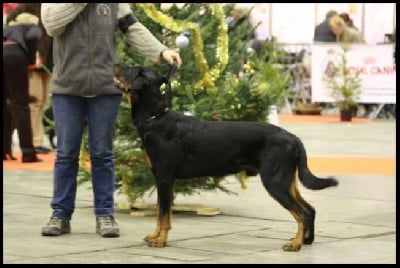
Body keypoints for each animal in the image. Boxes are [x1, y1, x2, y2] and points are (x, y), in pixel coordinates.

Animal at [114, 64, 340, 251]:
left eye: (130, 69)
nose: (115, 64)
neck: (155, 118)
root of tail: (293, 138)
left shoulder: (164, 178)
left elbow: (163, 215)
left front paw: (160, 240)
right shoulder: (163, 179)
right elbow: (161, 213)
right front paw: (155, 236)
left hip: (275, 181)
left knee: (301, 213)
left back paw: (295, 244)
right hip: (287, 180)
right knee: (309, 209)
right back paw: (306, 241)